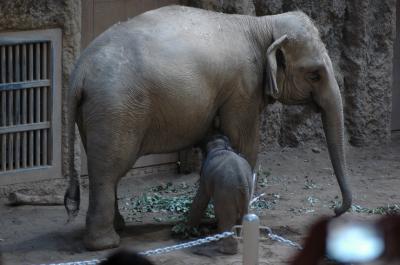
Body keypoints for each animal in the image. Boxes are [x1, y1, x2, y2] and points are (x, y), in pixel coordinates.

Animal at [65, 6, 354, 250]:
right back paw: (105, 244)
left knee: (103, 166)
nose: (336, 210)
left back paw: (119, 228)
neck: (263, 24)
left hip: (96, 112)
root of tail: (79, 71)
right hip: (116, 108)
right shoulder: (243, 88)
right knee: (109, 170)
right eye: (315, 74)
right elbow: (245, 144)